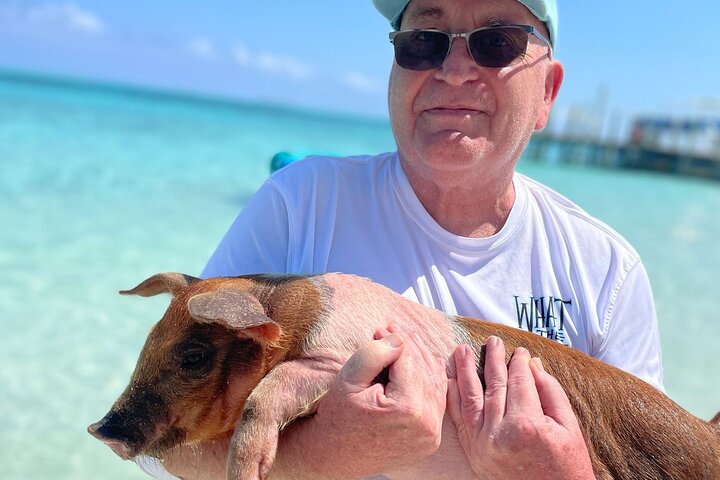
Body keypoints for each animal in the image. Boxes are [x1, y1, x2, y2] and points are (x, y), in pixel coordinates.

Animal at [88, 272, 720, 480]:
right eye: (148, 340)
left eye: (194, 355)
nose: (101, 429)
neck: (297, 311)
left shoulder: (338, 356)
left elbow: (272, 387)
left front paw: (247, 472)